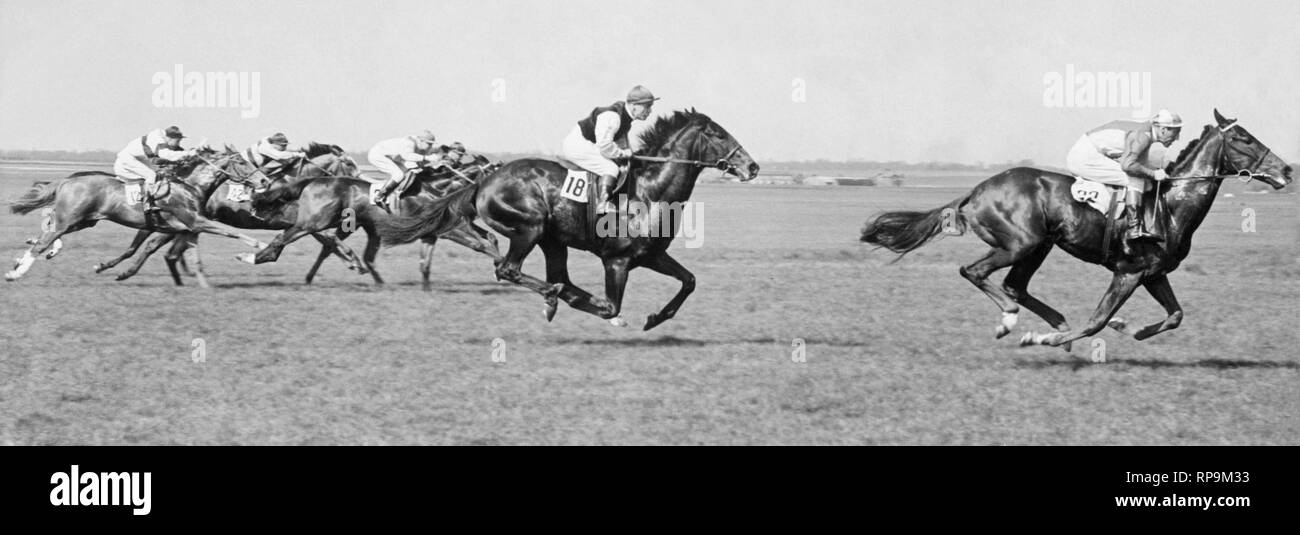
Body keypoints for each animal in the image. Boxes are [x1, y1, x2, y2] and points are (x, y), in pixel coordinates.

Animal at [5, 150, 273, 284]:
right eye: (241, 161)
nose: (264, 181)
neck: (190, 185)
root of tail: (67, 180)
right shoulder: (195, 222)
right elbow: (233, 232)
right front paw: (260, 247)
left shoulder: (182, 229)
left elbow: (158, 252)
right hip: (70, 219)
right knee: (43, 240)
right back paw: (16, 272)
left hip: (84, 221)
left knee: (47, 233)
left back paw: (25, 259)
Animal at [857, 109, 1294, 350]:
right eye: (1243, 138)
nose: (1287, 170)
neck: (1170, 205)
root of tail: (977, 189)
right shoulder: (1129, 271)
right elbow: (1096, 320)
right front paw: (1049, 339)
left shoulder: (1153, 273)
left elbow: (1175, 315)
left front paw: (1133, 328)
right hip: (1021, 243)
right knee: (976, 272)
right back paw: (1013, 322)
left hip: (1039, 246)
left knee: (1015, 285)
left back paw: (1050, 324)